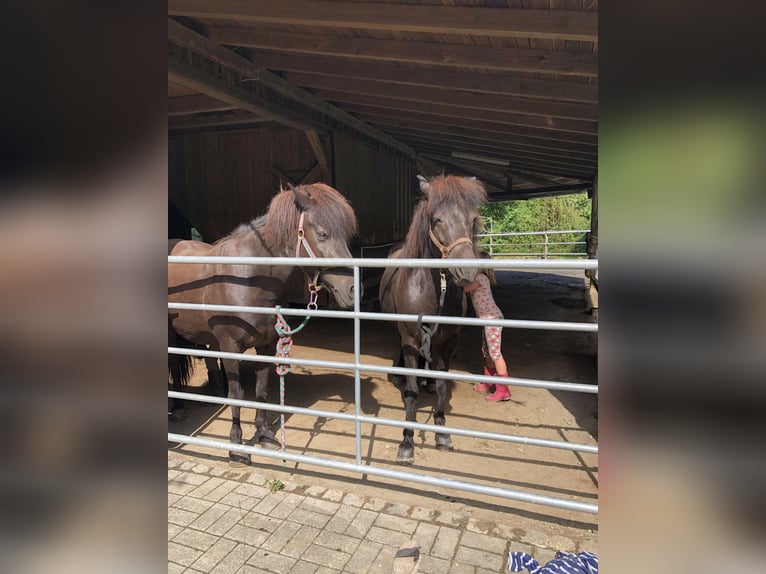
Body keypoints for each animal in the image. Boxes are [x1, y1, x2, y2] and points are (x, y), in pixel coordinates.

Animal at [170, 184, 358, 468]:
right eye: (323, 234)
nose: (353, 289)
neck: (248, 277)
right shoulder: (230, 348)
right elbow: (237, 395)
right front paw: (236, 448)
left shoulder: (267, 346)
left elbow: (261, 390)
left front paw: (265, 435)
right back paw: (178, 409)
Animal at [380, 176, 488, 468]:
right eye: (437, 219)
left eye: (473, 219)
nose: (467, 272)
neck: (432, 286)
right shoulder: (410, 338)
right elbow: (411, 391)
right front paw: (406, 444)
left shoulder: (450, 340)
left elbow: (441, 384)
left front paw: (442, 433)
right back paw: (398, 375)